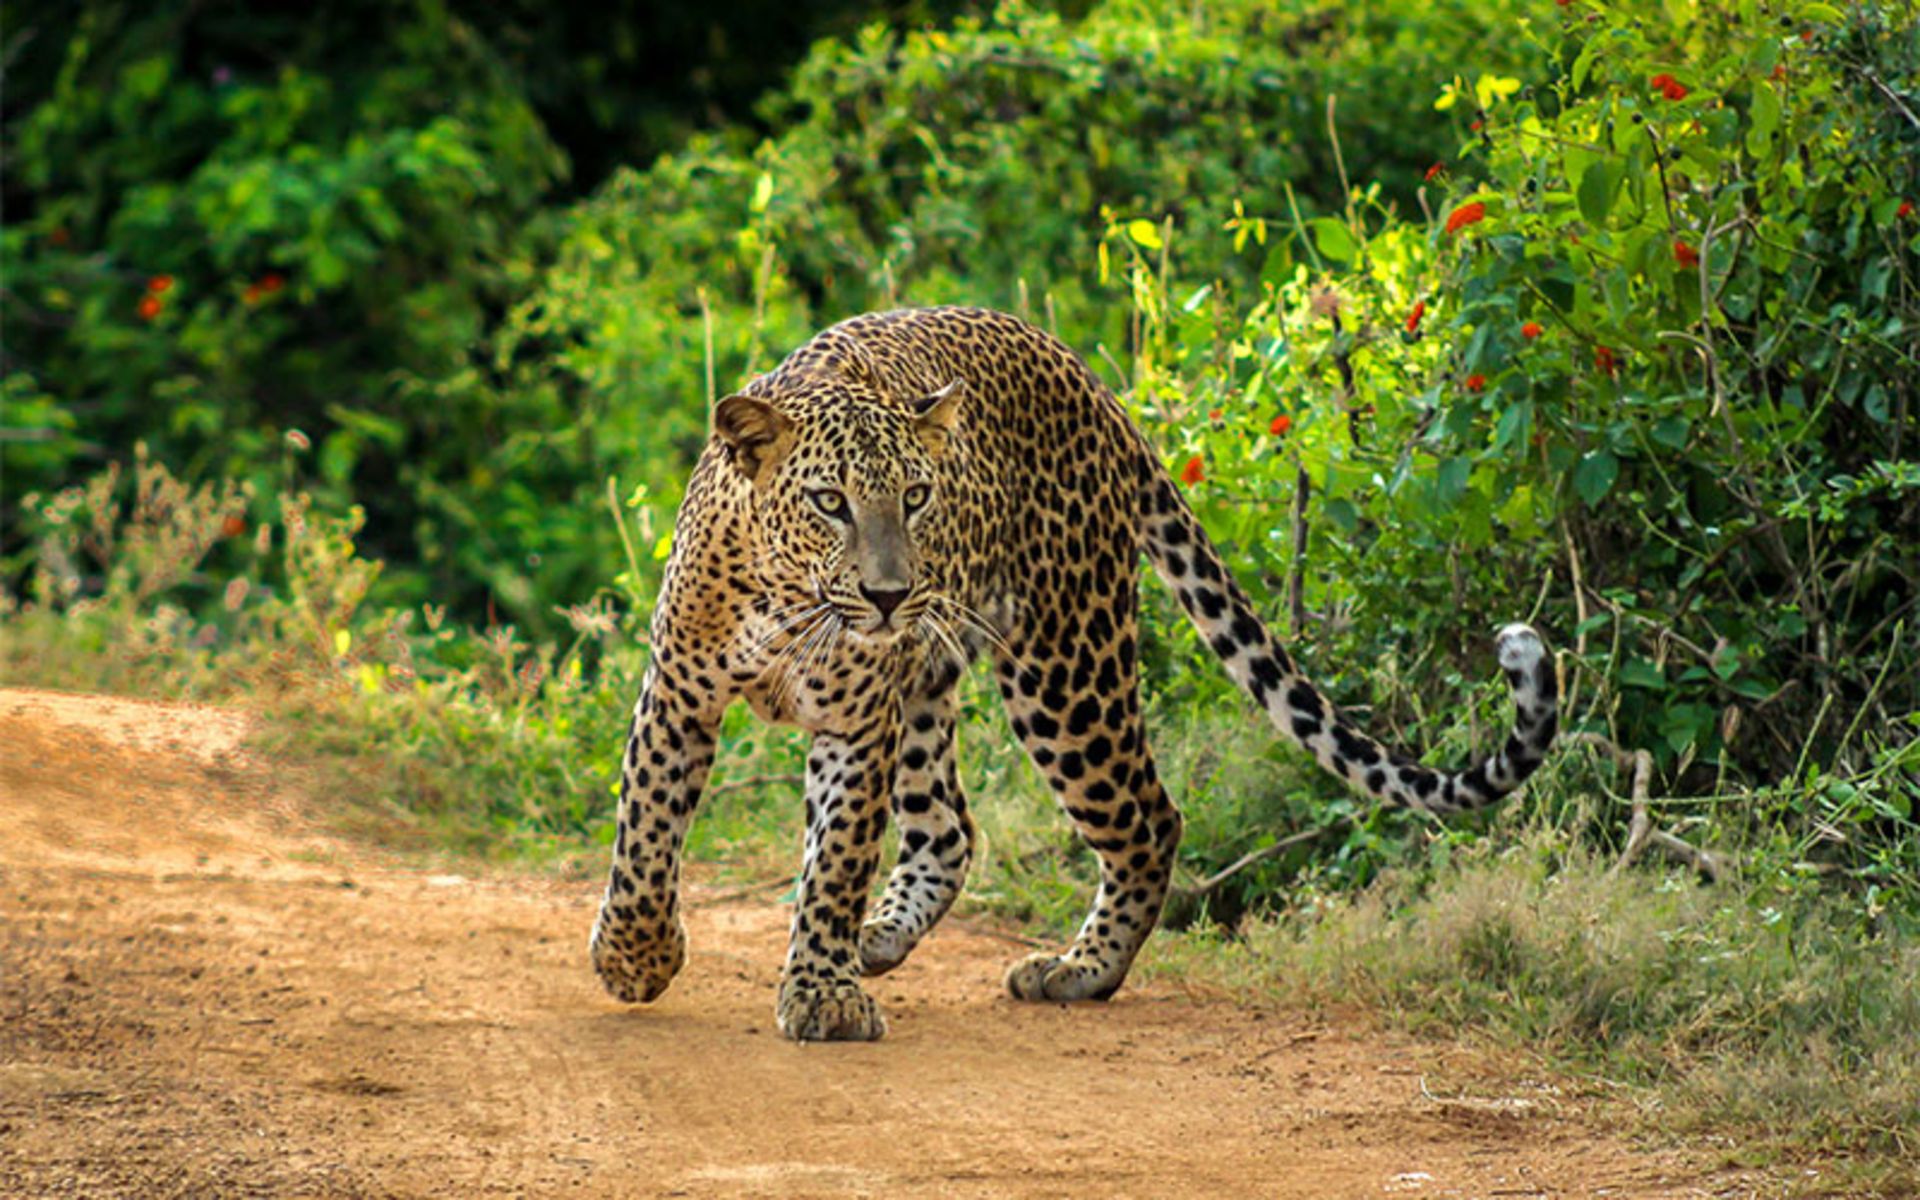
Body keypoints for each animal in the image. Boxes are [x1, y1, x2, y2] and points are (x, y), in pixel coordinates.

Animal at [589, 305, 1558, 1042]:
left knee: (1147, 819)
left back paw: (1078, 971)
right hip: (938, 683)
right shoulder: (679, 691)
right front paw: (636, 959)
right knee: (949, 827)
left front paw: (821, 993)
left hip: (1063, 665)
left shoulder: (856, 723)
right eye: (830, 502)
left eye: (916, 497)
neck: (792, 596)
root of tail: (1095, 386)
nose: (890, 594)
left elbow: (834, 861)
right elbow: (645, 834)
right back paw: (885, 937)